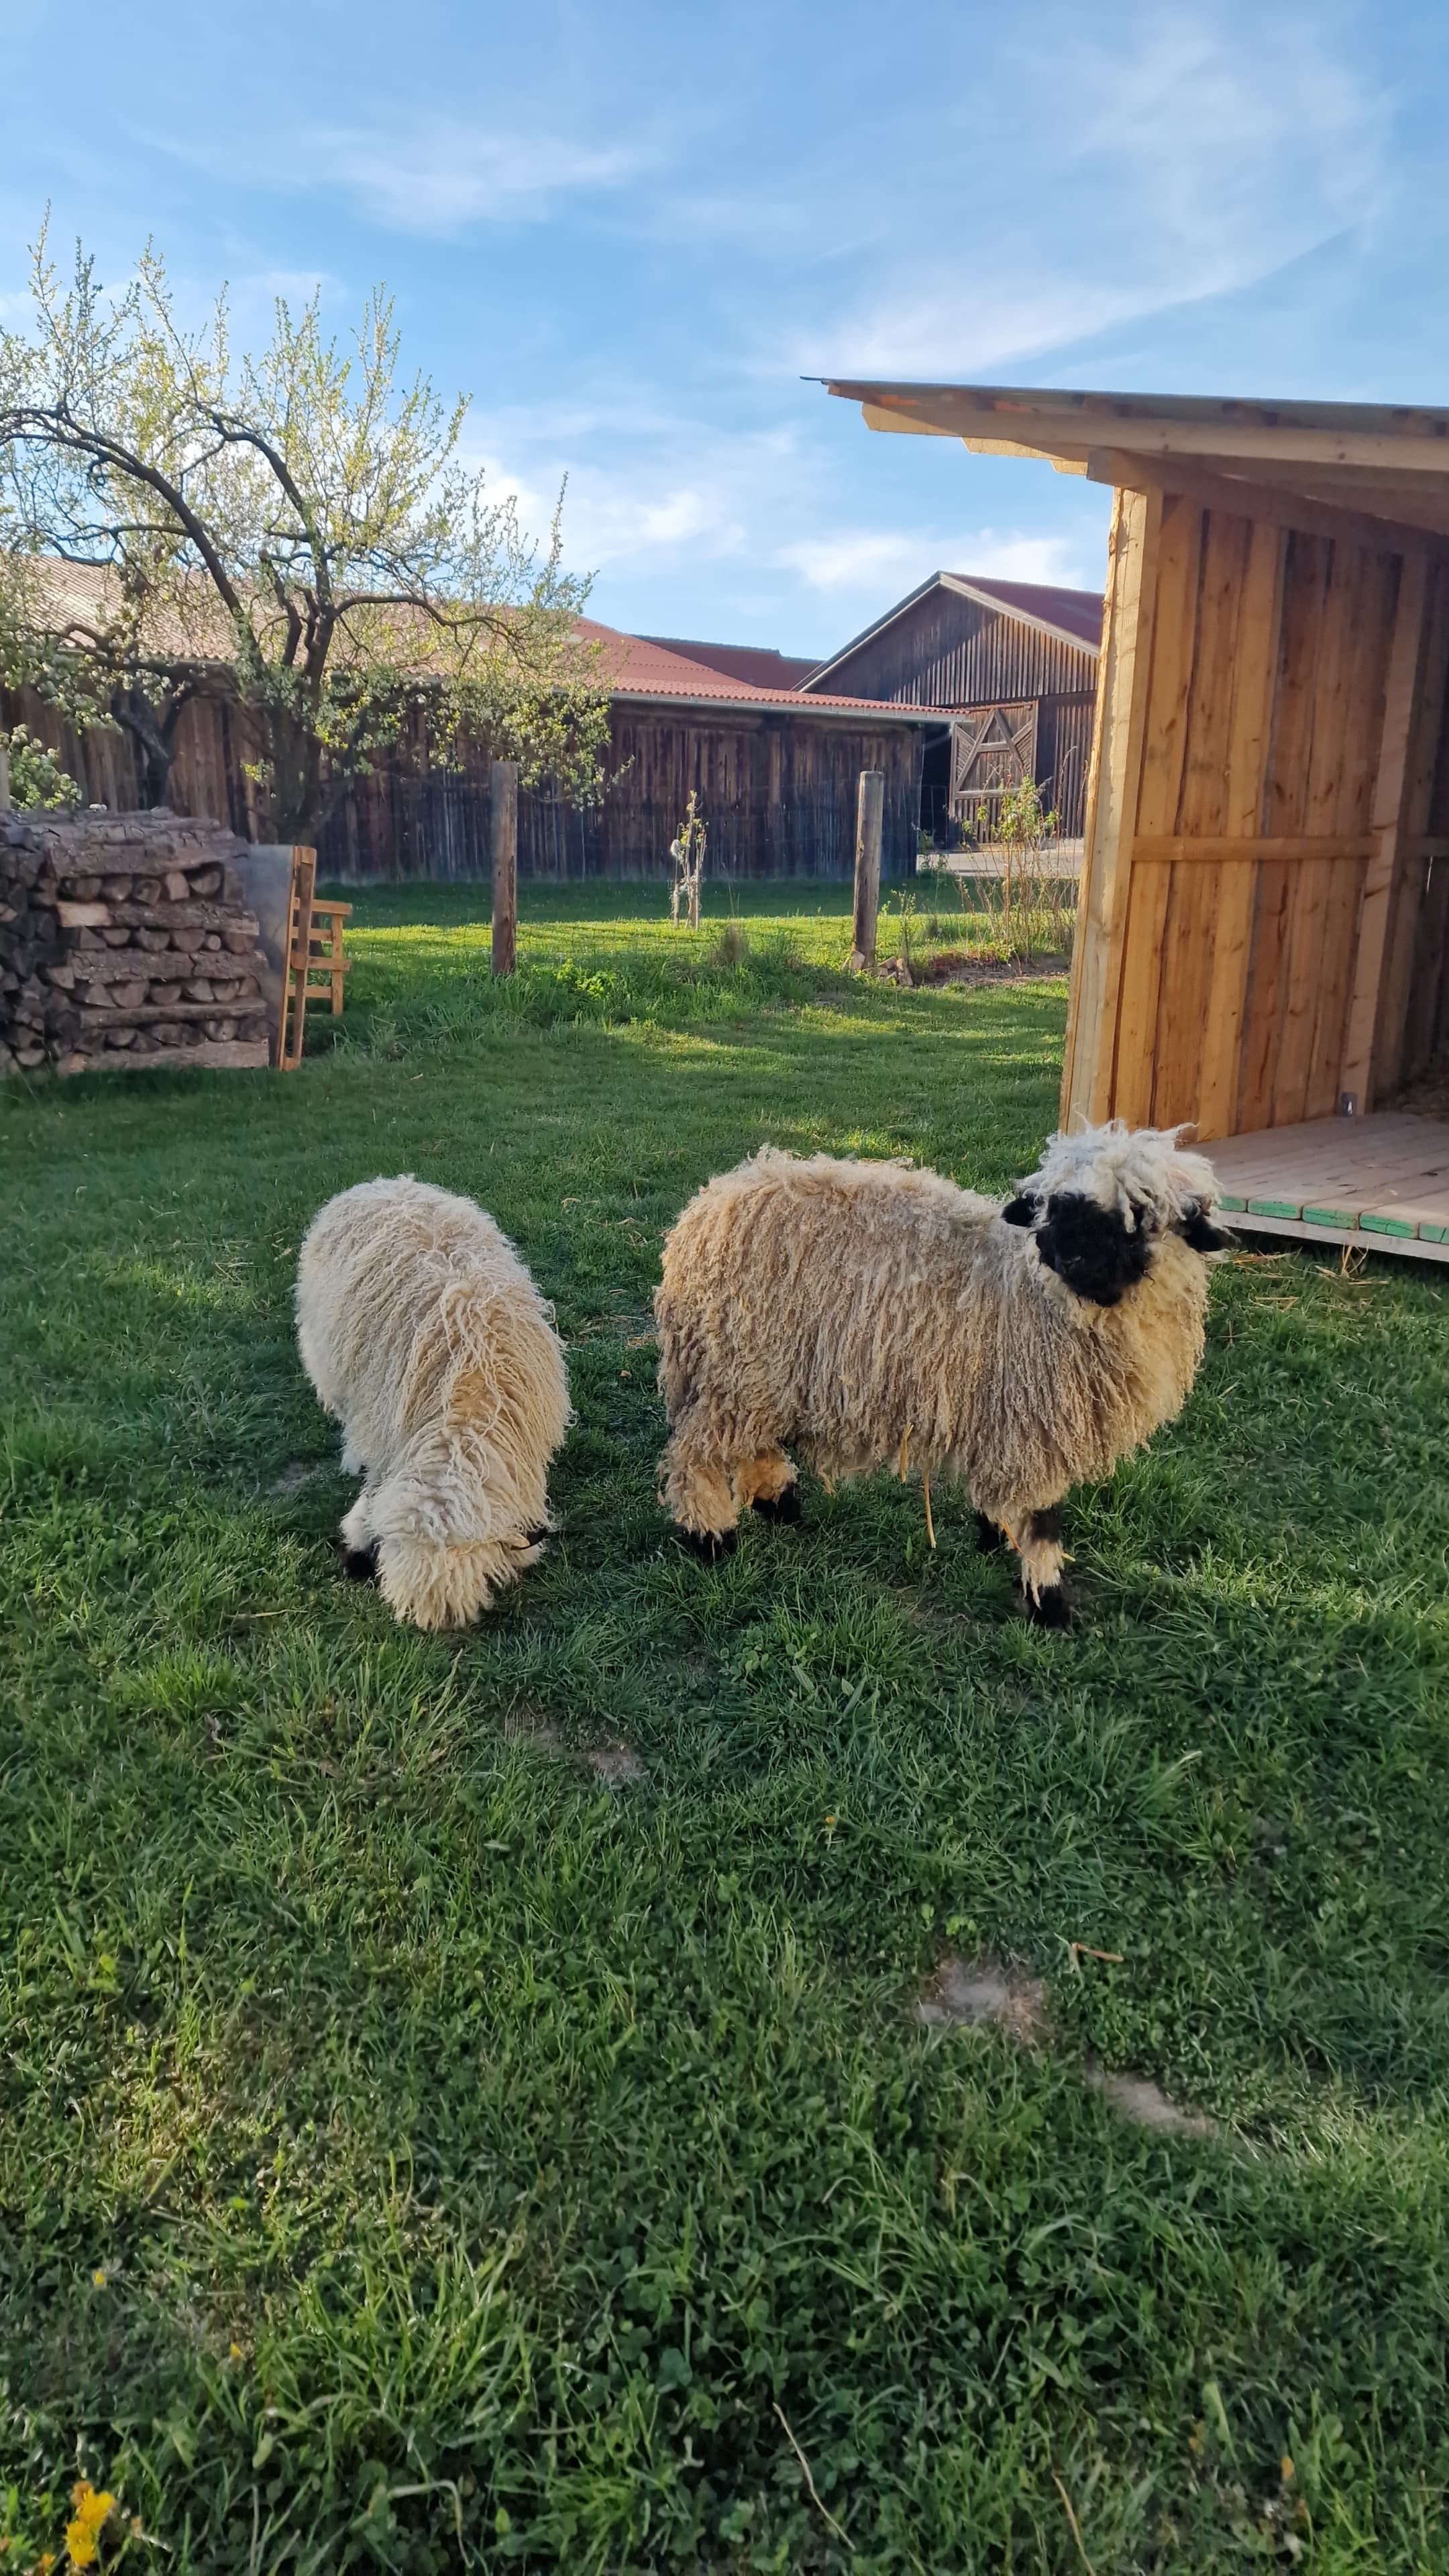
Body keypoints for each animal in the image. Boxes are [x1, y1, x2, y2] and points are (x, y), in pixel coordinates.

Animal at [653, 1121, 1226, 1626]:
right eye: (1051, 1207)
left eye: (1139, 1215)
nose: (1067, 1256)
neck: (1033, 1291)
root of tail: (705, 1209)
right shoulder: (1034, 1427)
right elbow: (1042, 1522)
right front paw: (1049, 1605)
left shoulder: (1007, 1423)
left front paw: (992, 1535)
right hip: (740, 1367)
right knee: (697, 1453)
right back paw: (711, 1538)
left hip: (759, 1377)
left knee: (753, 1444)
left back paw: (780, 1504)